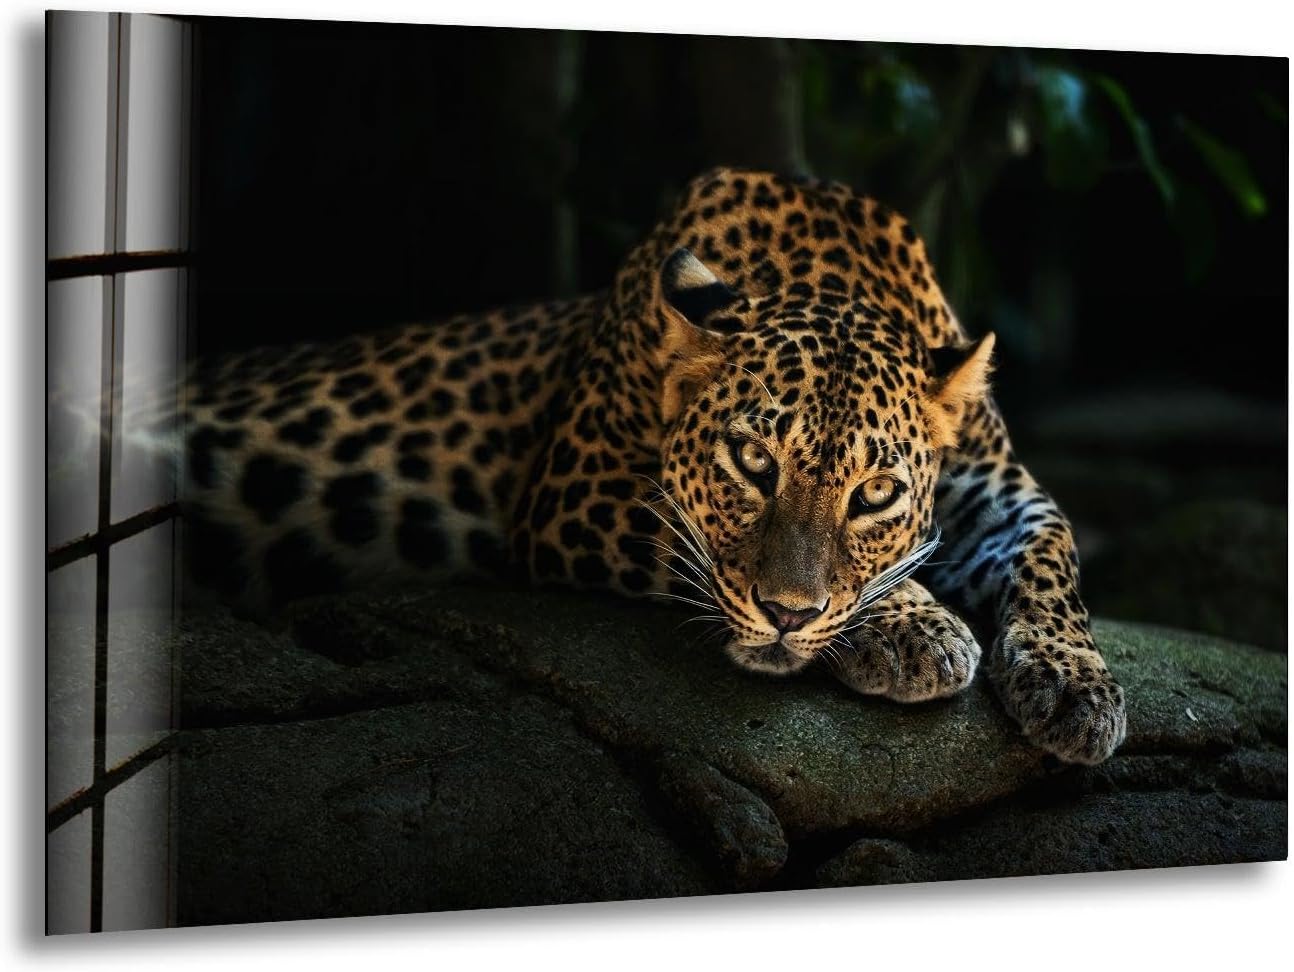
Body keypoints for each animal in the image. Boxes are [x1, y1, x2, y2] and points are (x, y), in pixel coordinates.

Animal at [172, 167, 1126, 765]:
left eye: (877, 494)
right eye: (752, 460)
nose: (787, 617)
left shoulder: (1001, 491)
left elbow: (1054, 554)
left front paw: (1077, 687)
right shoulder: (574, 491)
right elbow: (695, 547)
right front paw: (915, 628)